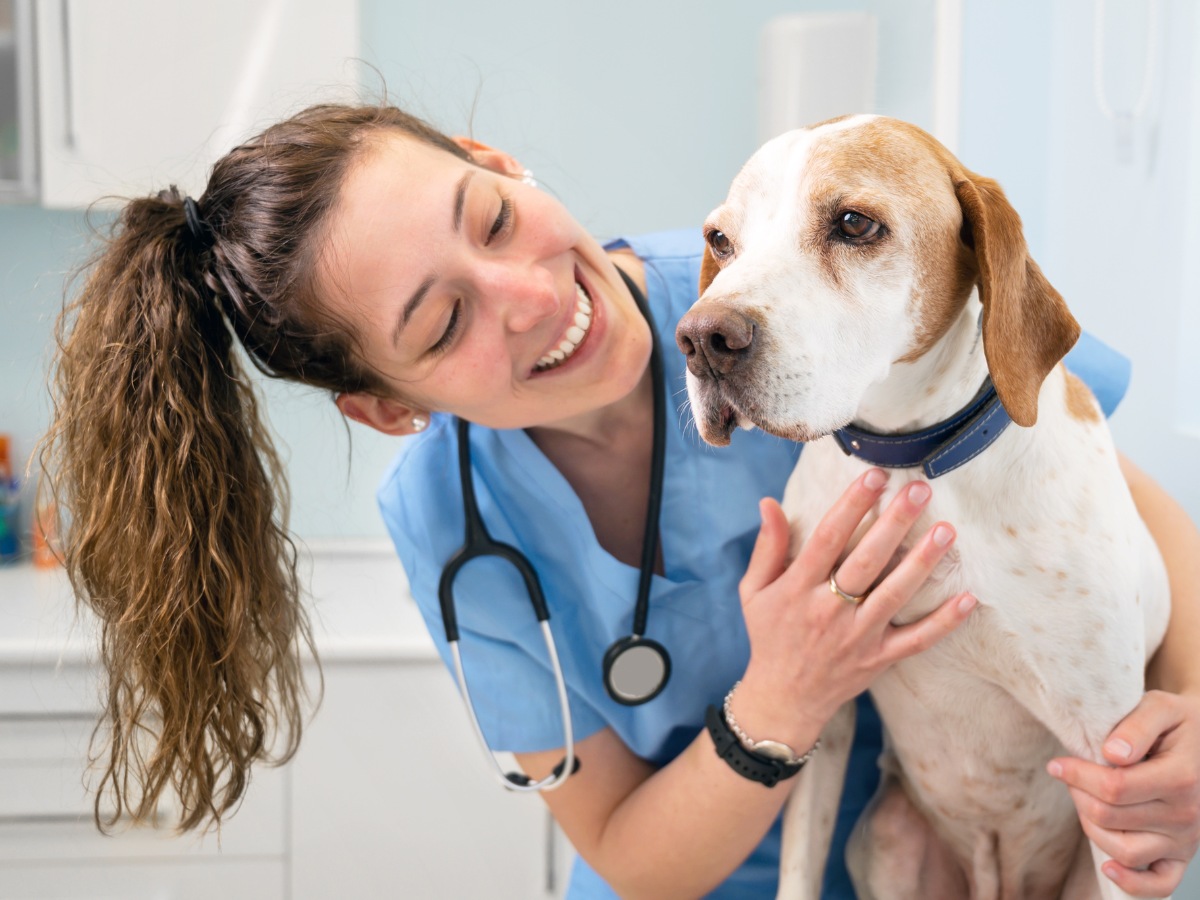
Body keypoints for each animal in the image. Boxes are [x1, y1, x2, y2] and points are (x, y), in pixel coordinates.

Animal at [676, 118, 1171, 900]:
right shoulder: (821, 711)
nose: (700, 340)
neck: (914, 461)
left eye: (854, 223)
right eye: (721, 240)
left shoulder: (1109, 759)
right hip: (887, 838)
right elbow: (799, 867)